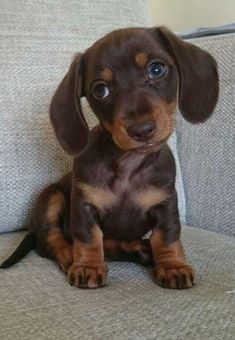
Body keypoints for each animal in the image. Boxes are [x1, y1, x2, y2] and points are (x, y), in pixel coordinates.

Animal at [0, 27, 218, 290]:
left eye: (156, 69)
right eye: (100, 90)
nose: (142, 129)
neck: (127, 165)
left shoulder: (165, 204)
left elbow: (166, 237)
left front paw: (172, 266)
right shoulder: (83, 205)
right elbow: (89, 237)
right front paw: (87, 265)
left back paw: (137, 249)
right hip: (52, 196)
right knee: (51, 239)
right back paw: (70, 255)